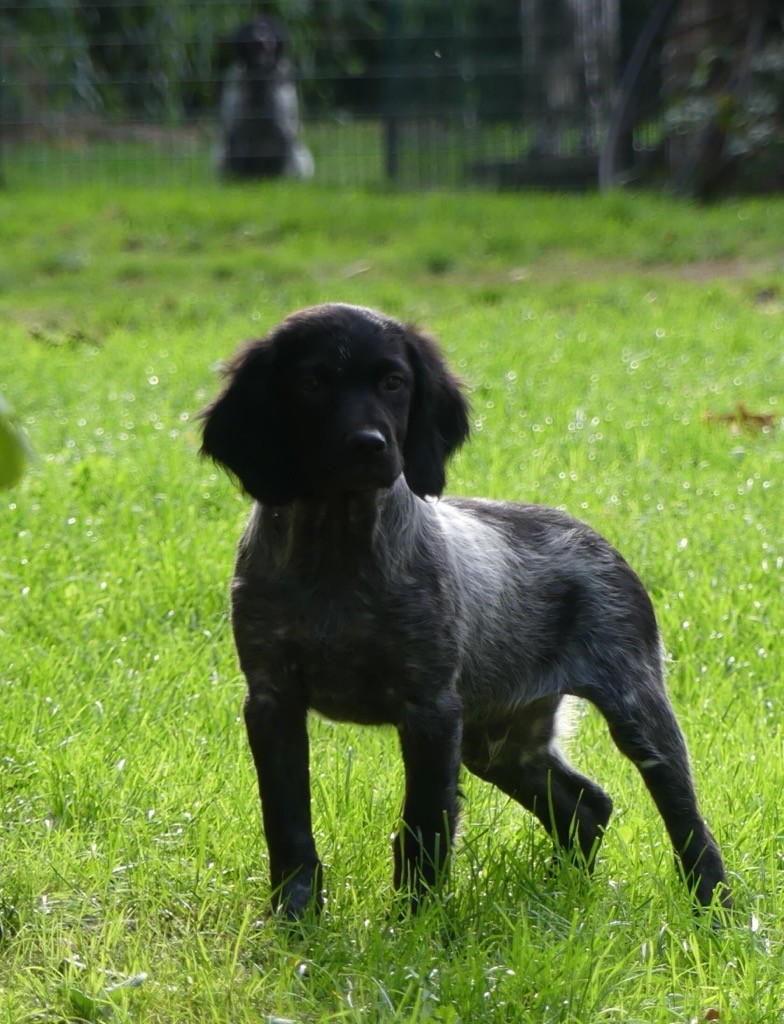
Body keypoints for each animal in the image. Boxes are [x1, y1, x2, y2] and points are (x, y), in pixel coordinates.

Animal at [200, 299, 728, 917]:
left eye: (394, 382)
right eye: (312, 383)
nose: (369, 444)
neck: (337, 549)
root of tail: (594, 535)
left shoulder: (430, 707)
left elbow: (424, 824)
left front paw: (413, 923)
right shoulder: (271, 700)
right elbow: (287, 824)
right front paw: (295, 916)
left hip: (636, 709)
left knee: (689, 824)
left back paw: (715, 912)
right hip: (499, 741)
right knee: (587, 804)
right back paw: (559, 895)